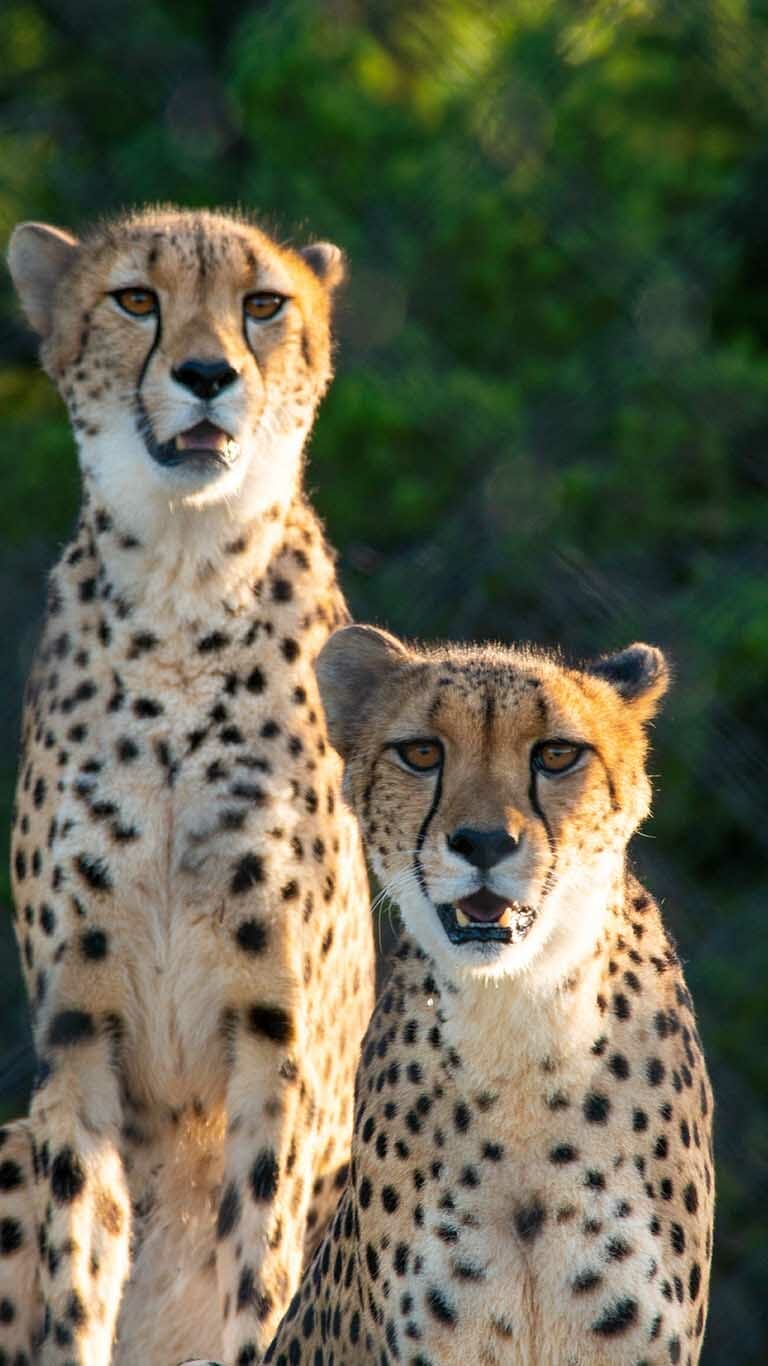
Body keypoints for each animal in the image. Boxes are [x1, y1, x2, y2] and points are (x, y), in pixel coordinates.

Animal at [2, 207, 374, 1360]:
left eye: (264, 304)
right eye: (135, 298)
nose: (207, 374)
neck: (183, 578)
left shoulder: (279, 1042)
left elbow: (261, 1275)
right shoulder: (77, 1041)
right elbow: (77, 1275)